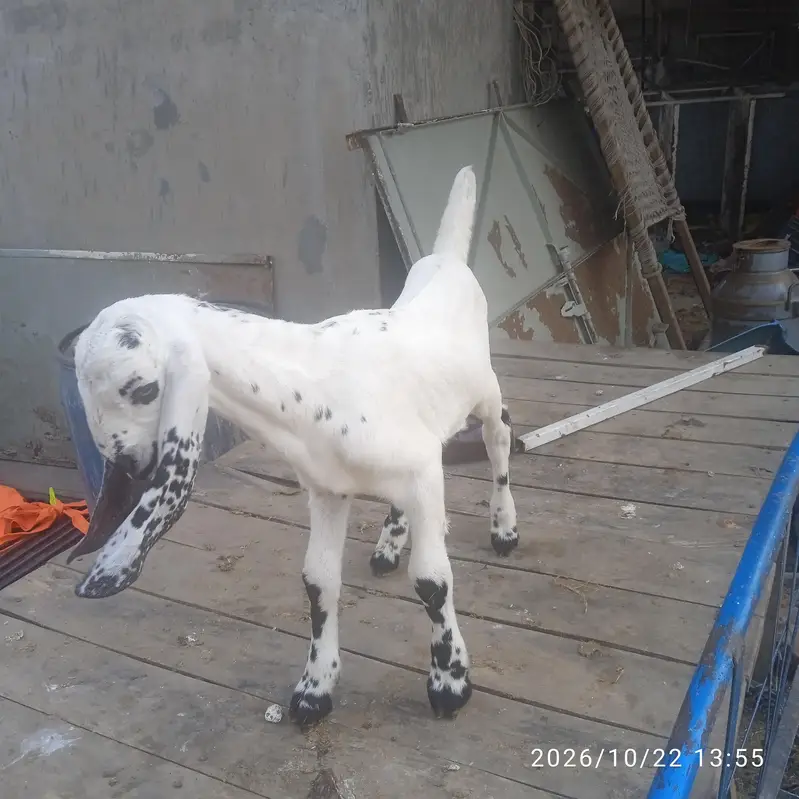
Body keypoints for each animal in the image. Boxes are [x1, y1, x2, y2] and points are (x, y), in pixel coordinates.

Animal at [67, 165, 519, 724]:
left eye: (145, 389)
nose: (127, 462)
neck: (313, 383)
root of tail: (448, 260)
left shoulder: (422, 473)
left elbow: (432, 580)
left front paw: (449, 683)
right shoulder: (328, 491)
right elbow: (318, 581)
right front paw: (314, 690)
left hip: (485, 391)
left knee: (500, 438)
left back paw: (504, 528)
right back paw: (390, 544)